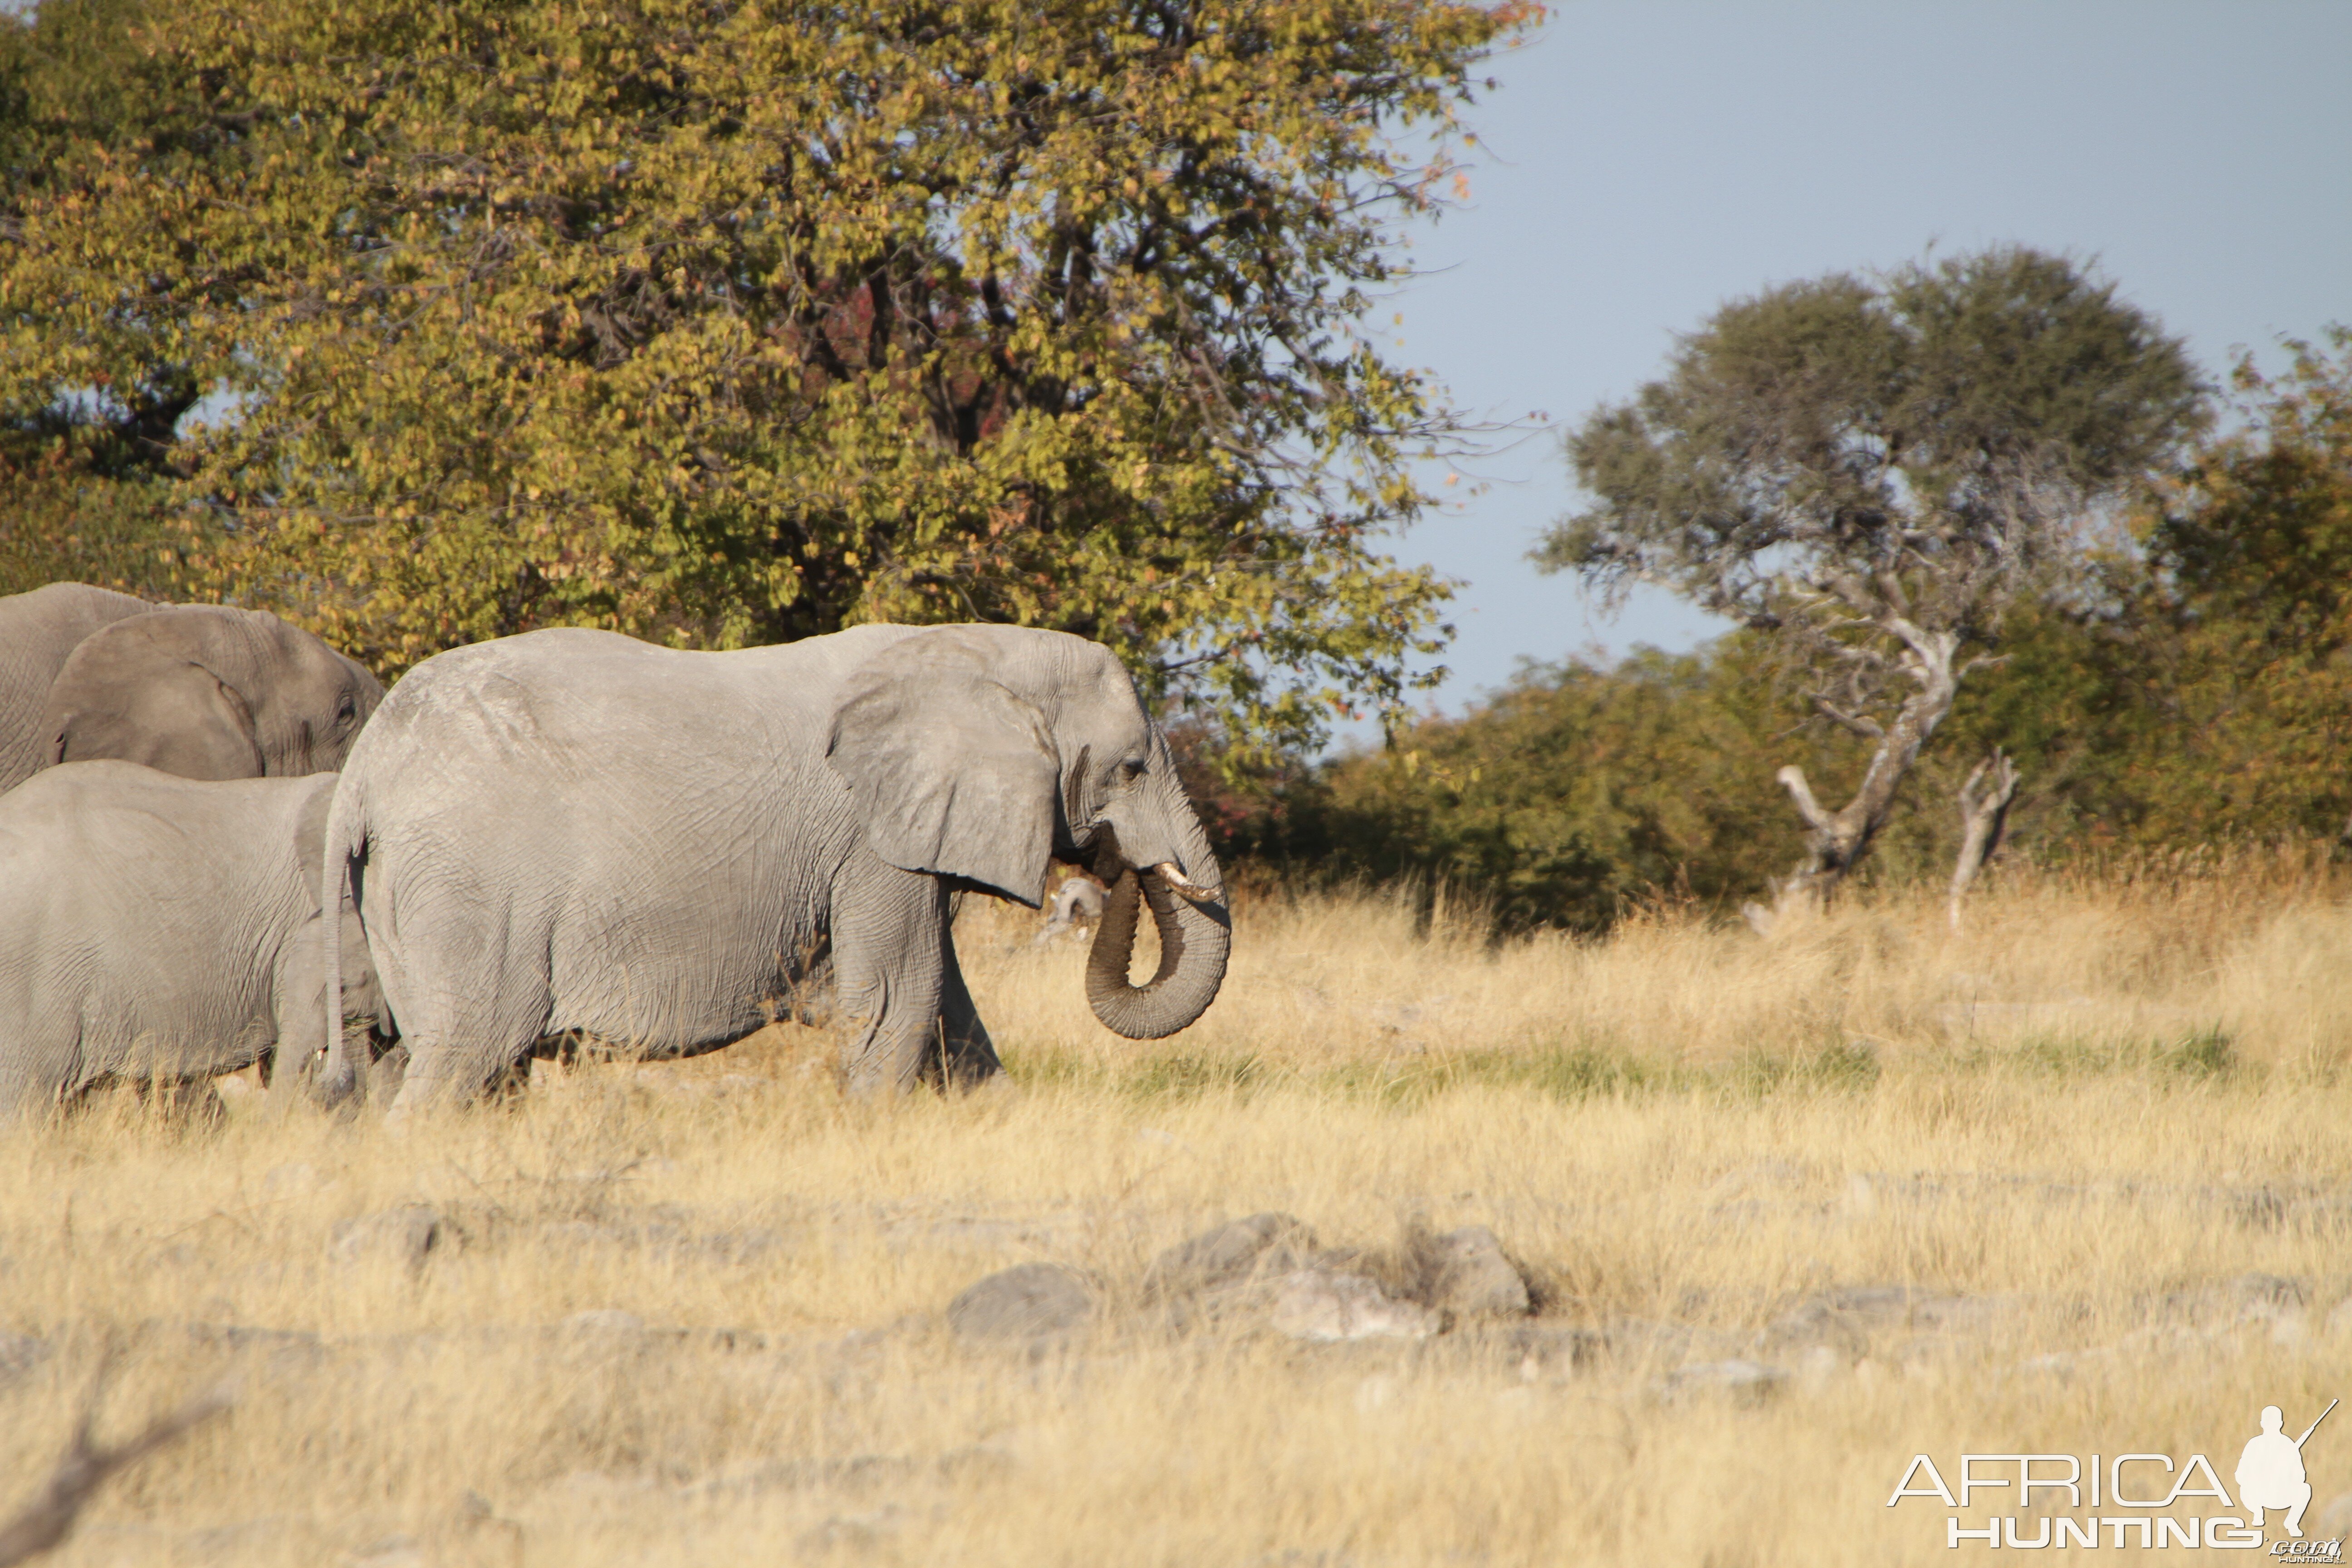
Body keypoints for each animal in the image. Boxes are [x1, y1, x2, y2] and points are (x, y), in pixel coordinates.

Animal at [324, 620, 1242, 1109]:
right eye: (1130, 769)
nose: (1115, 867)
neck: (972, 649)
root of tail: (364, 775)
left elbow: (948, 1011)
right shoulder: (870, 845)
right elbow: (898, 1002)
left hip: (404, 900)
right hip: (472, 893)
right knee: (466, 1057)